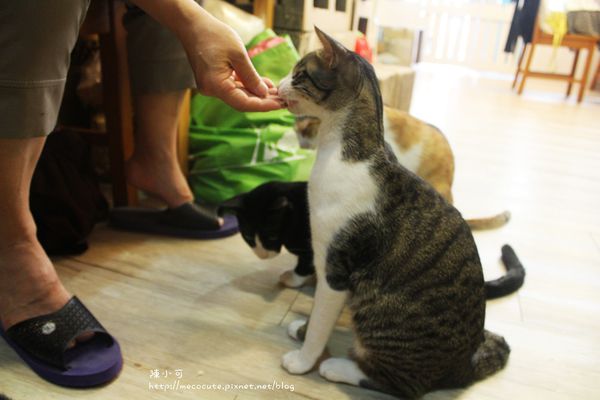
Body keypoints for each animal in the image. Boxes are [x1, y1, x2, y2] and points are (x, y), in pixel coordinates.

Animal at [223, 180, 524, 298]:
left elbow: (304, 264)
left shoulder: (312, 245)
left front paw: (293, 278)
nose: (262, 253)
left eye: (271, 235)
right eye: (248, 237)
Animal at [274, 27, 512, 396]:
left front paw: (303, 360)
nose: (277, 84)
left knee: (403, 384)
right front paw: (302, 328)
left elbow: (320, 324)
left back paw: (337, 367)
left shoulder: (335, 268)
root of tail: (462, 367)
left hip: (381, 314)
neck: (344, 151)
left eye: (299, 73)